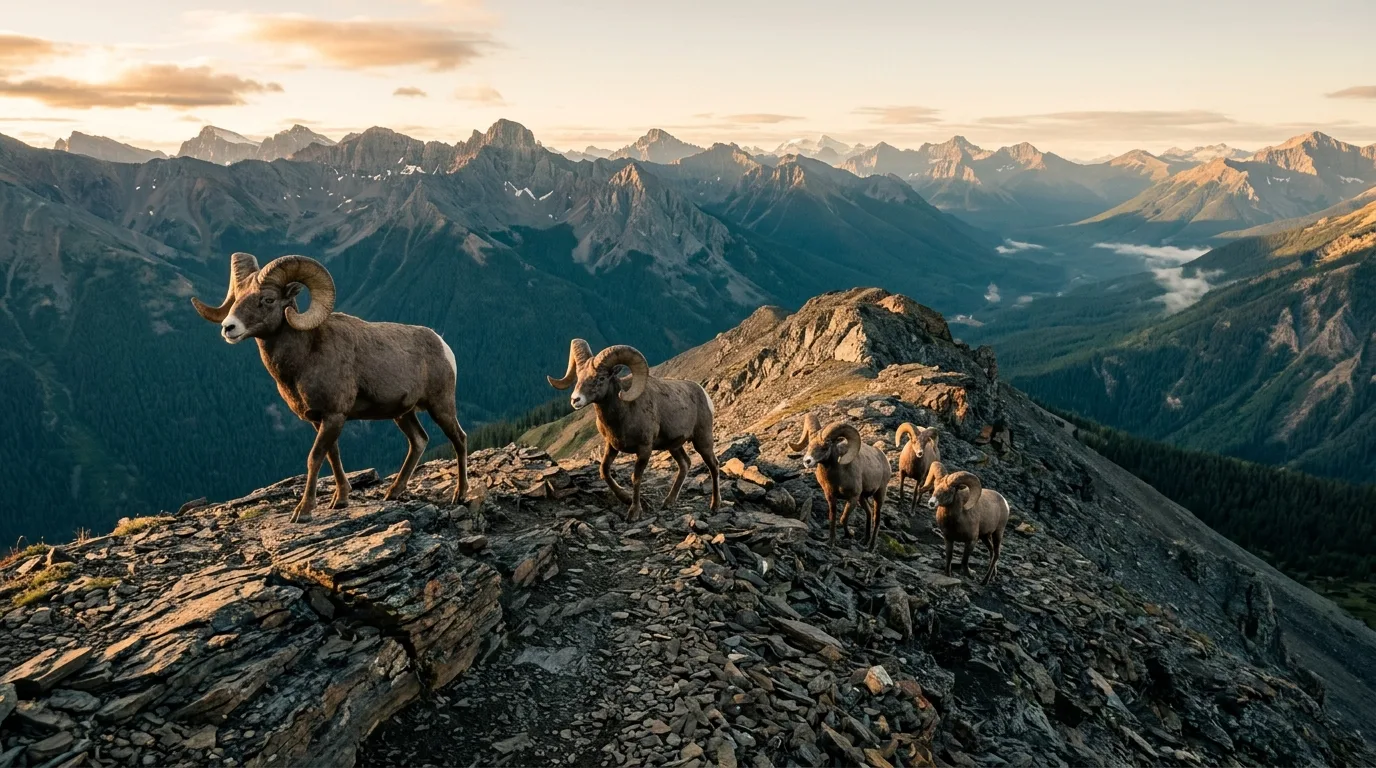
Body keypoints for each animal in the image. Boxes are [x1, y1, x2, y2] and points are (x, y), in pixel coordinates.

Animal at [191, 252, 468, 522]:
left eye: (268, 299)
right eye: (237, 298)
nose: (229, 328)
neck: (304, 358)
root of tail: (443, 345)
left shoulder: (334, 415)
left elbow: (315, 458)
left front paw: (303, 511)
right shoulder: (321, 419)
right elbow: (333, 456)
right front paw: (340, 500)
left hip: (440, 406)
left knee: (459, 438)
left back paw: (460, 494)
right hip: (403, 414)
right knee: (419, 441)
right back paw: (393, 493)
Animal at [547, 339, 719, 521]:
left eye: (601, 378)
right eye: (579, 377)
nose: (575, 400)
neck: (624, 413)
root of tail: (703, 393)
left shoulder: (644, 449)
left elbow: (635, 478)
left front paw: (634, 512)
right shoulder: (611, 446)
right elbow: (604, 471)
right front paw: (625, 499)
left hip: (702, 441)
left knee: (713, 465)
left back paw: (715, 506)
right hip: (674, 446)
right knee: (685, 464)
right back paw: (668, 502)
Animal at [789, 415, 891, 549]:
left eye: (825, 447)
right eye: (809, 444)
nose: (807, 461)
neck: (838, 477)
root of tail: (883, 457)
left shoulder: (852, 498)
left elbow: (843, 519)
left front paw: (850, 534)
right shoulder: (831, 497)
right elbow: (832, 518)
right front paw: (831, 543)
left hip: (879, 494)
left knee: (877, 518)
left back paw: (871, 547)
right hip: (862, 498)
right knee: (869, 512)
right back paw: (864, 541)